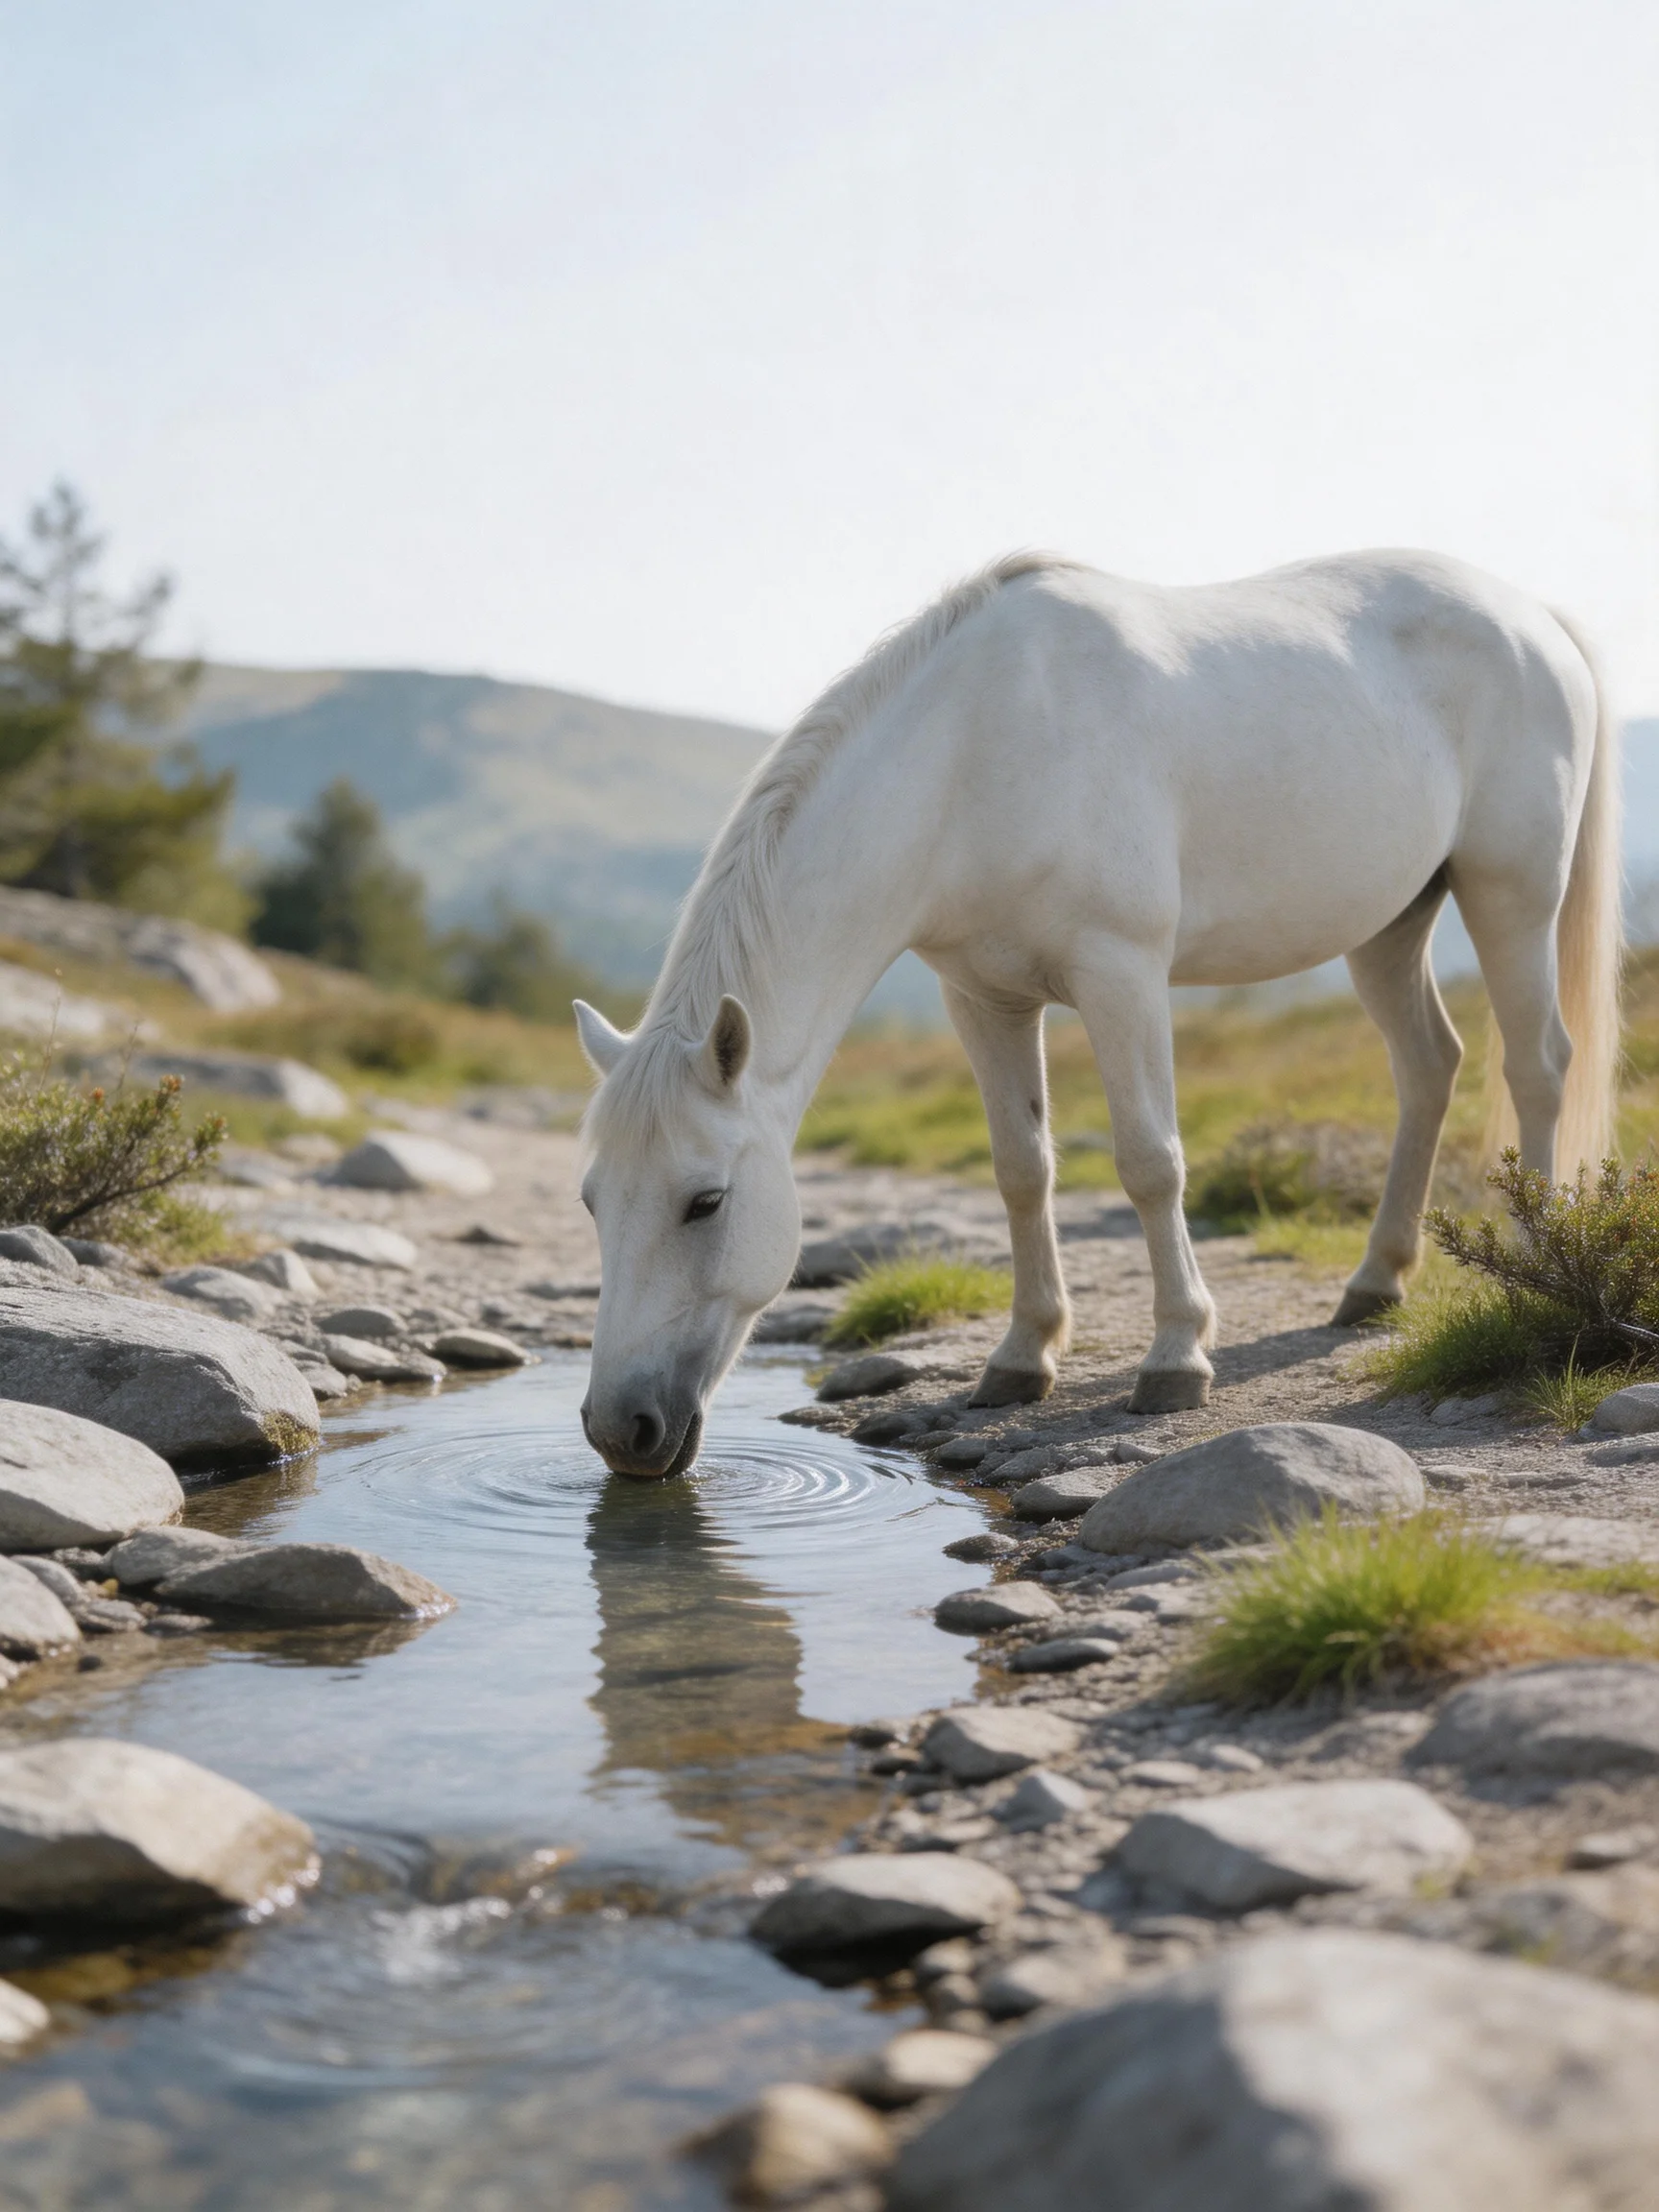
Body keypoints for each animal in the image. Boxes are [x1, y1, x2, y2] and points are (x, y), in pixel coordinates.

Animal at [574, 549, 1620, 1478]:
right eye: (592, 1200)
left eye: (705, 1201)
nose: (620, 1429)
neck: (974, 753)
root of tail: (1534, 615)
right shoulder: (984, 999)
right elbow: (1021, 1170)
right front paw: (1022, 1357)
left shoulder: (1122, 975)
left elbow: (1150, 1163)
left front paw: (1177, 1358)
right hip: (1389, 925)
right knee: (1430, 1066)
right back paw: (1374, 1284)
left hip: (1510, 894)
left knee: (1536, 1064)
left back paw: (1532, 1272)